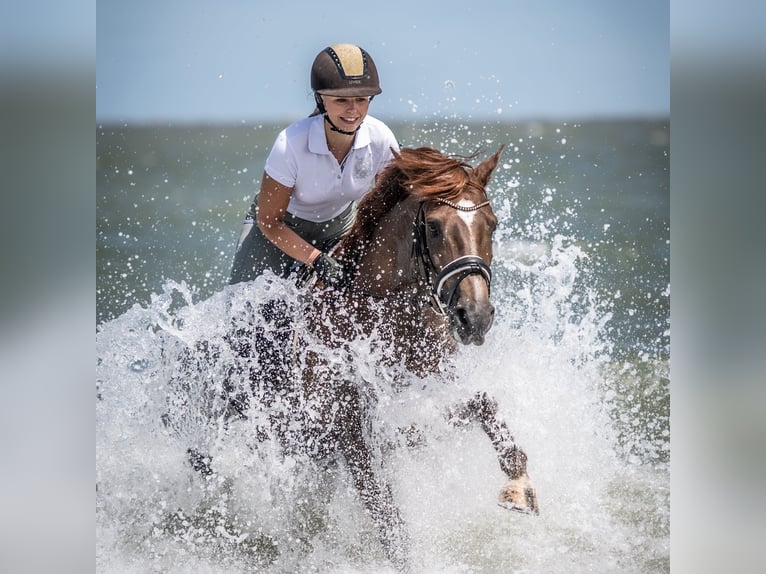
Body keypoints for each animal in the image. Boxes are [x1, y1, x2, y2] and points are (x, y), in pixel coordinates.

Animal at [173, 146, 538, 571]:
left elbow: (484, 406)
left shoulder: (419, 405)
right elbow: (386, 517)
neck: (383, 318)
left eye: (492, 225)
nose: (475, 318)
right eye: (433, 227)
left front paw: (519, 490)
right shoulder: (346, 429)